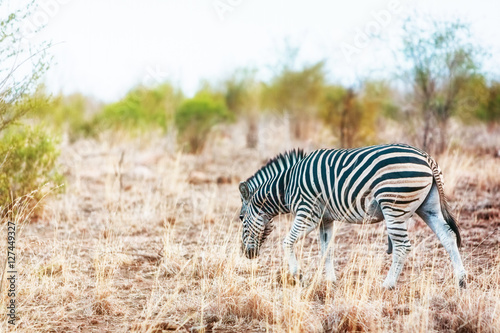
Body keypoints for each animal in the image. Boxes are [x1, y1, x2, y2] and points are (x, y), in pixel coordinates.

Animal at [240, 143, 466, 288]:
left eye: (241, 219)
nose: (246, 254)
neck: (286, 186)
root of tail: (426, 158)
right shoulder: (325, 219)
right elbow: (327, 250)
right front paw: (331, 281)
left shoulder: (308, 213)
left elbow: (287, 241)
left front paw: (298, 276)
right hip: (428, 207)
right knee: (447, 236)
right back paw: (461, 280)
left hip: (394, 206)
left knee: (402, 246)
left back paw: (387, 285)